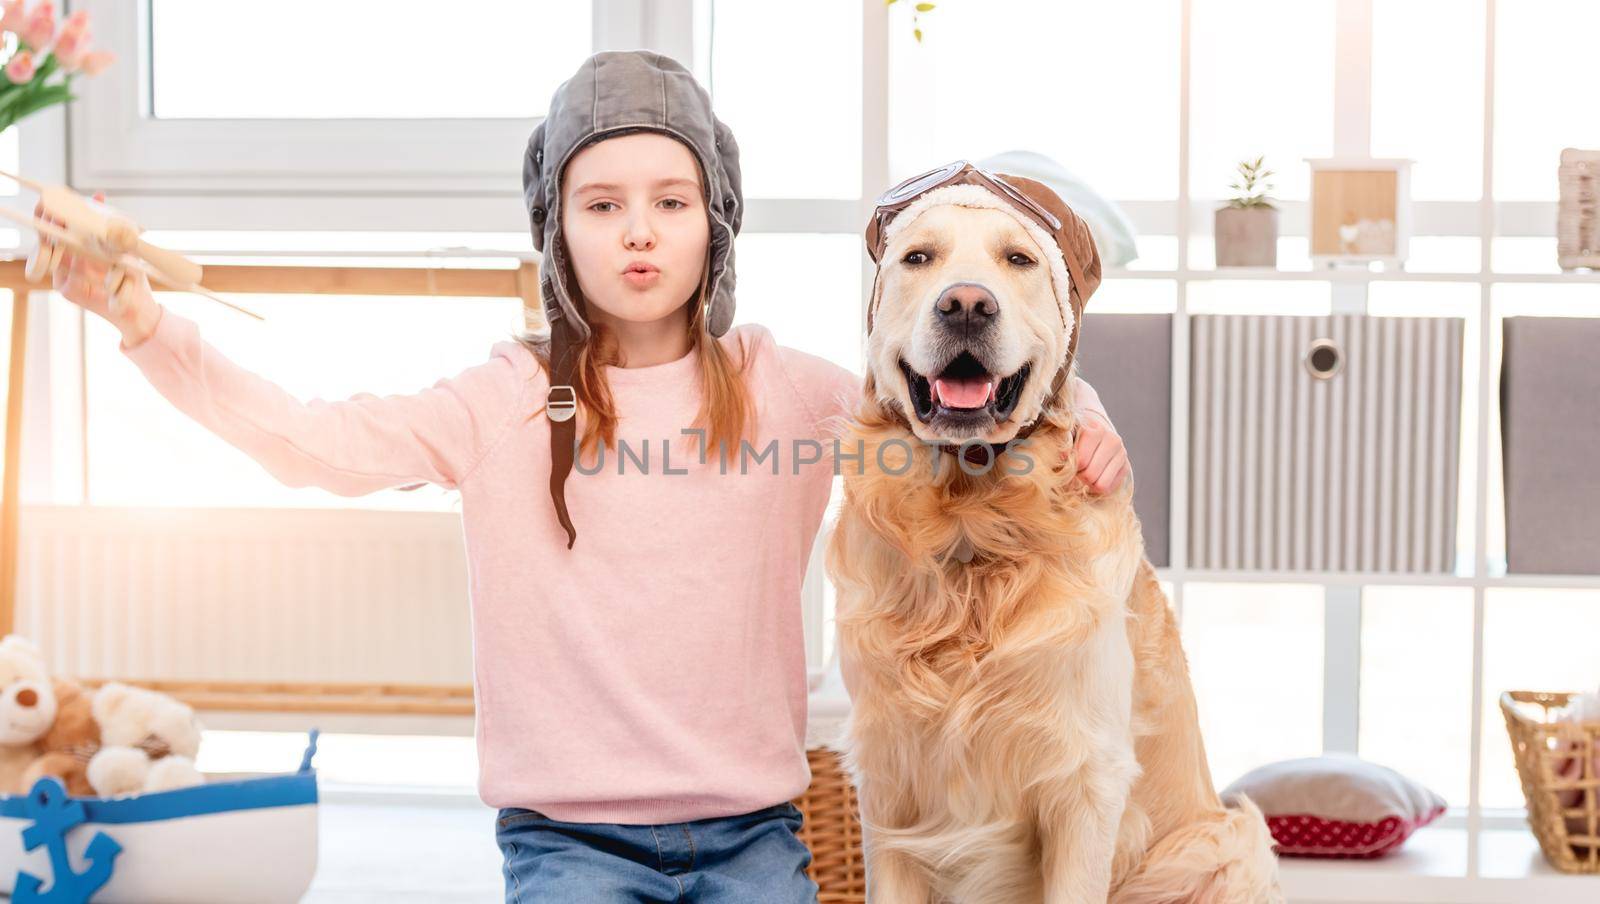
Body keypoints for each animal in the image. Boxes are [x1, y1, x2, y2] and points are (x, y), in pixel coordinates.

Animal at [832, 171, 1280, 902]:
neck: (973, 525)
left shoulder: (1085, 785)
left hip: (1224, 843)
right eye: (918, 258)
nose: (965, 305)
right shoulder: (889, 782)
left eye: (1018, 259)